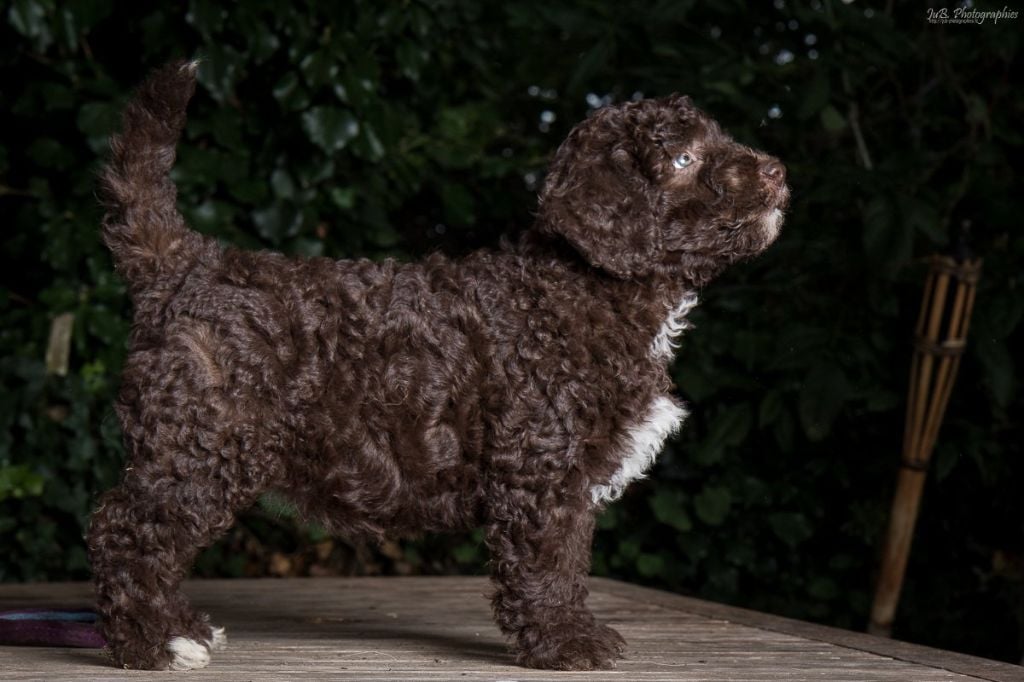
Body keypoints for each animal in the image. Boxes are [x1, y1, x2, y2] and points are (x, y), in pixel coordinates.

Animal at [87, 60, 788, 671]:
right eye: (683, 160)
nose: (778, 171)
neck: (582, 285)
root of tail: (187, 262)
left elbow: (568, 558)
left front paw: (569, 631)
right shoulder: (541, 466)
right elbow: (549, 560)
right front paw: (565, 643)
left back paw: (181, 627)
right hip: (201, 442)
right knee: (126, 530)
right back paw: (153, 643)